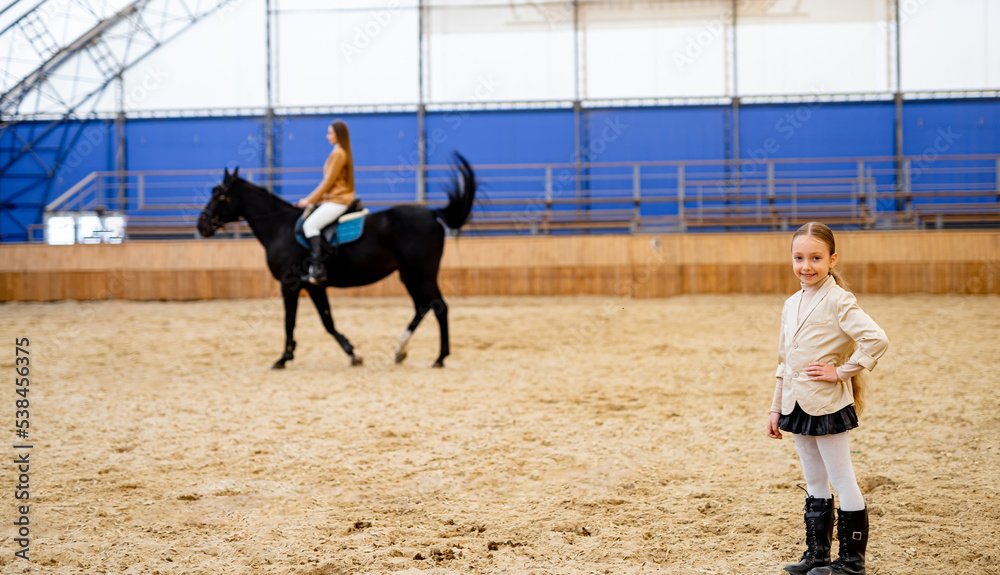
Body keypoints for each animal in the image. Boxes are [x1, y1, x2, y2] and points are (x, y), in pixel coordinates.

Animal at [198, 154, 476, 368]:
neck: (280, 227)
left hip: (423, 274)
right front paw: (352, 353)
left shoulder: (290, 285)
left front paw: (283, 358)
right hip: (409, 275)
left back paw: (439, 357)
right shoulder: (313, 285)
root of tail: (431, 213)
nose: (202, 225)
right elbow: (327, 321)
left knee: (439, 307)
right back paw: (401, 350)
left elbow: (290, 321)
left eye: (220, 196)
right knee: (422, 307)